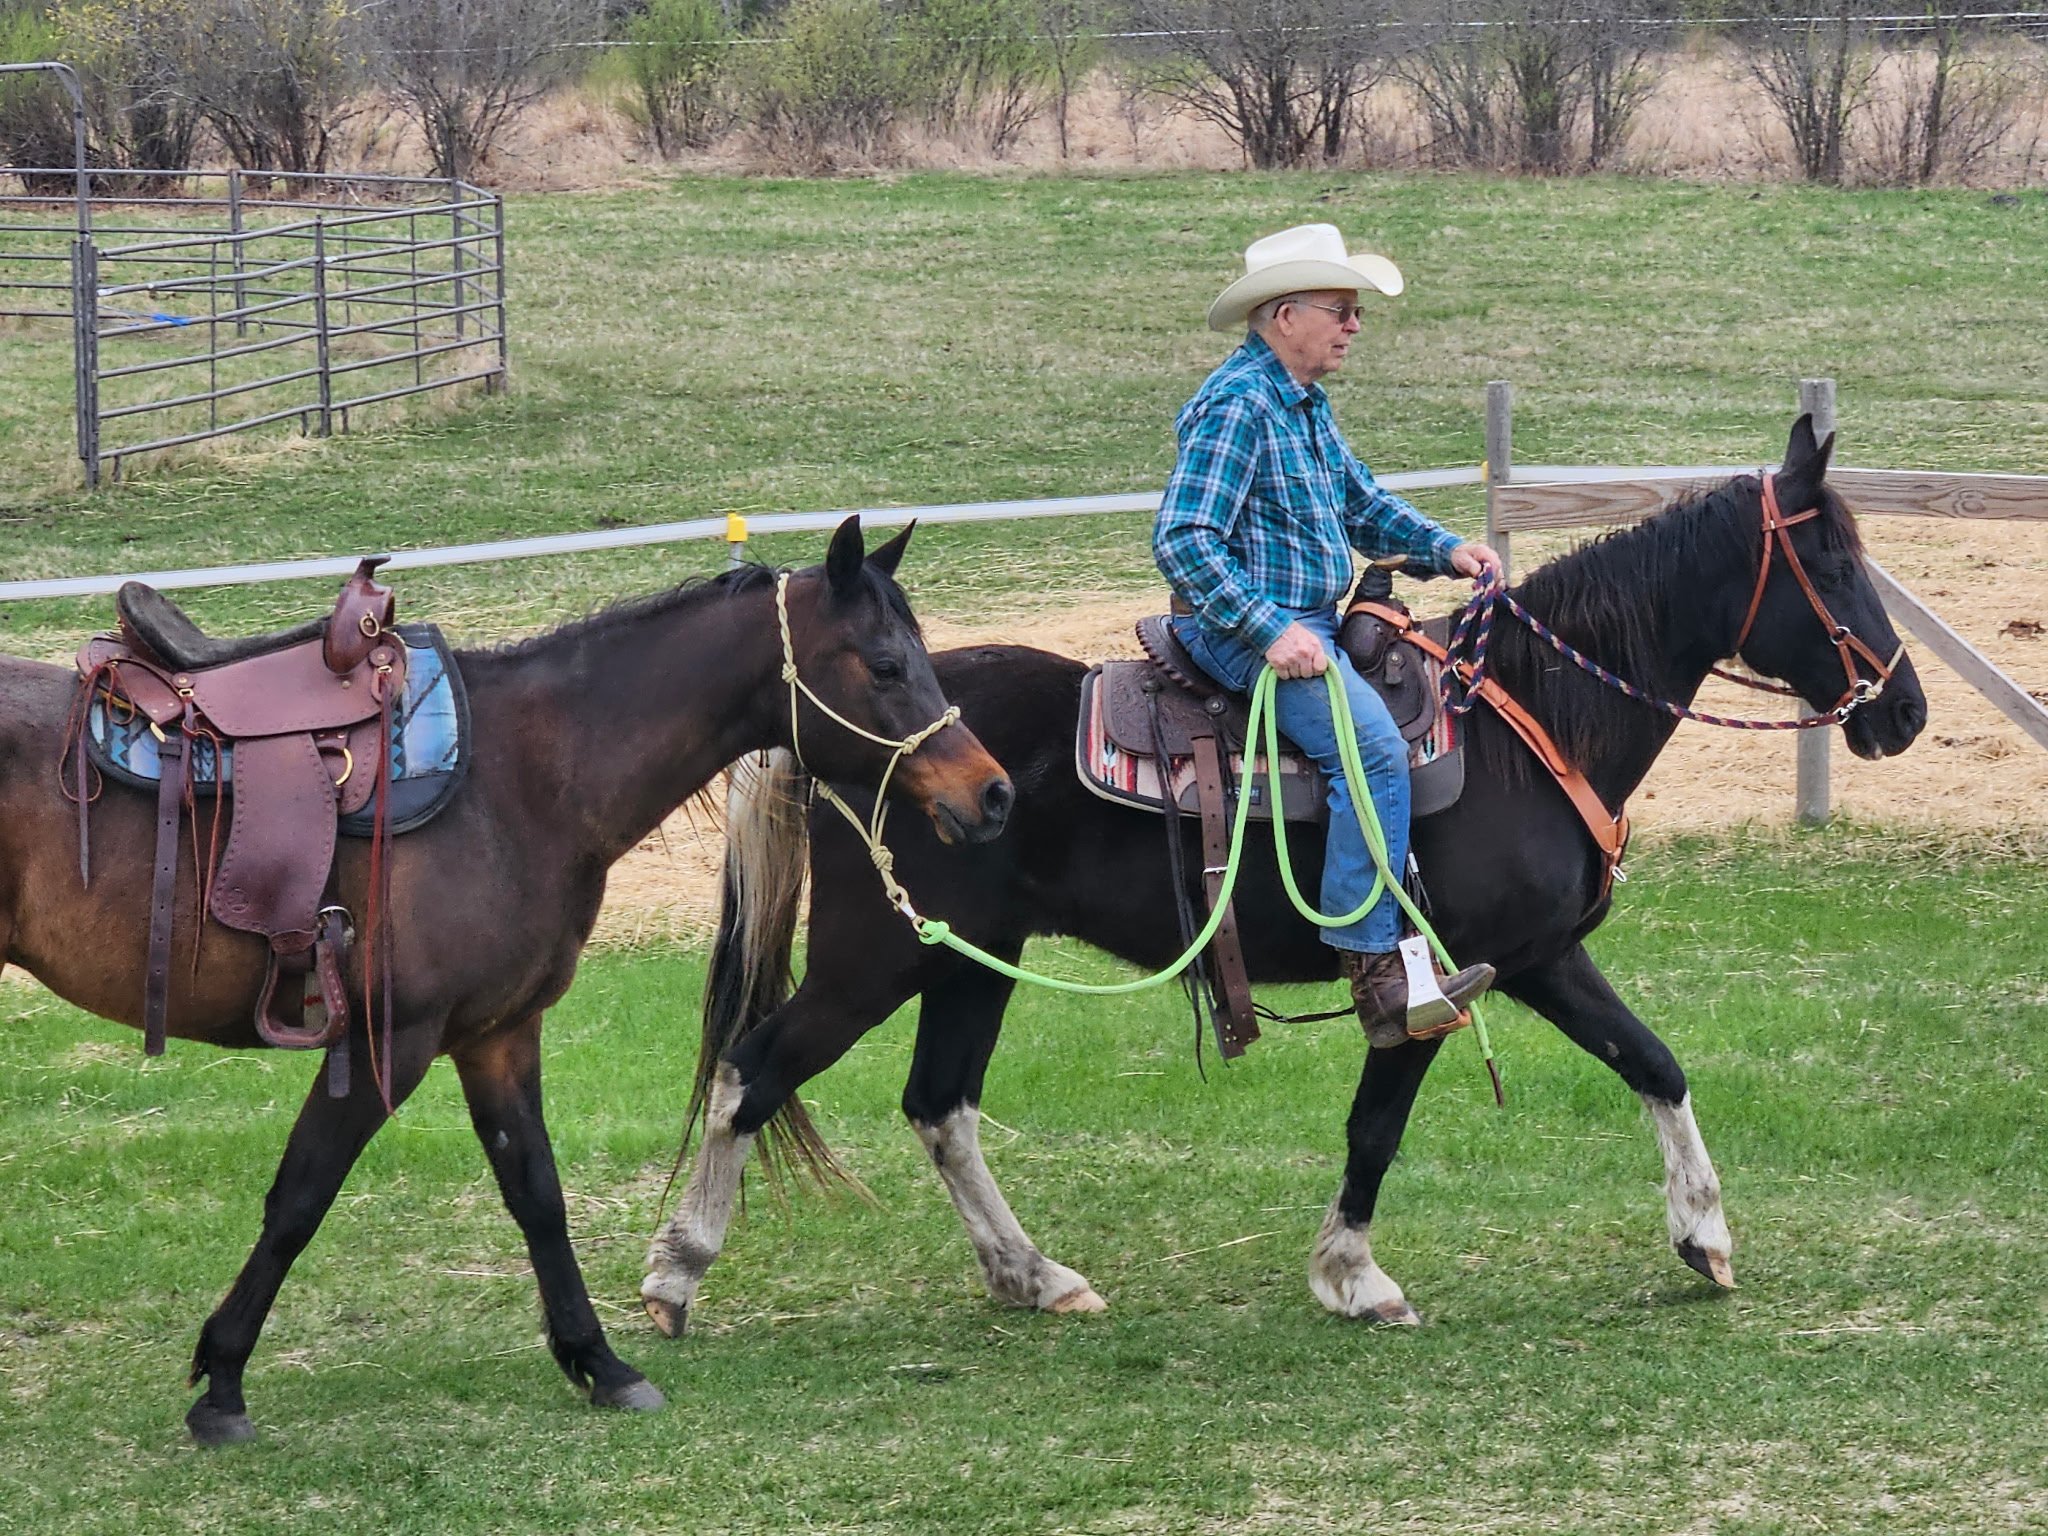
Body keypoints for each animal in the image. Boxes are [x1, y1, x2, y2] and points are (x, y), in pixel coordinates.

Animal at [0, 517, 1013, 1443]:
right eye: (884, 665)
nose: (995, 794)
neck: (522, 781)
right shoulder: (389, 1040)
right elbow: (297, 1200)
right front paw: (222, 1382)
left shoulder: (497, 1034)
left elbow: (537, 1193)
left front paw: (599, 1362)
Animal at [639, 417, 1928, 1336]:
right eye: (1829, 560)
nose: (1904, 711)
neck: (1522, 720)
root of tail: (816, 736)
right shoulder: (1439, 978)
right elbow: (1375, 1127)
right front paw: (1353, 1278)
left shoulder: (1541, 956)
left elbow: (1653, 1062)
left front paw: (1702, 1235)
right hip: (875, 960)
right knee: (757, 1067)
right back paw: (676, 1273)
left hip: (972, 961)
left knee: (937, 1107)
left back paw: (1034, 1274)